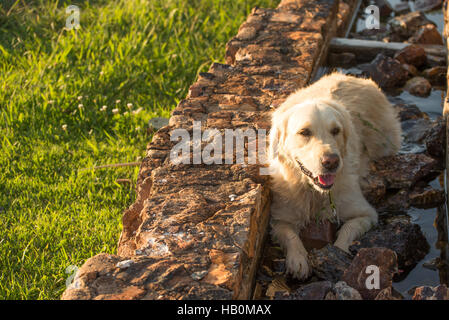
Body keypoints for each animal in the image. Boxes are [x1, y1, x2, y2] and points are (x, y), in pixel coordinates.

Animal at [268, 72, 400, 280]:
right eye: (304, 132)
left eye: (336, 131)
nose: (331, 161)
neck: (315, 192)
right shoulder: (280, 217)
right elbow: (290, 234)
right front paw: (298, 259)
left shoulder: (366, 214)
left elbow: (347, 229)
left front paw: (338, 253)